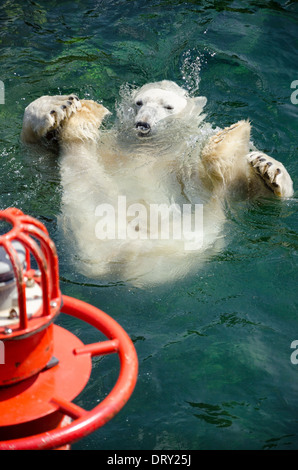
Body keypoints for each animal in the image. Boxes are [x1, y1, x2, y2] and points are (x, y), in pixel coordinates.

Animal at [21, 81, 294, 286]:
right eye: (139, 102)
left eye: (168, 106)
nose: (143, 123)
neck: (150, 149)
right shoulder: (108, 148)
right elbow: (39, 162)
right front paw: (57, 105)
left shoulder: (184, 157)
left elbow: (242, 192)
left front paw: (268, 168)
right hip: (93, 226)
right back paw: (83, 118)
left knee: (213, 193)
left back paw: (228, 143)